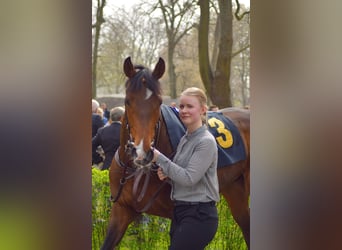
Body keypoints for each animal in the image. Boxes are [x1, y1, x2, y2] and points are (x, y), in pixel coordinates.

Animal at [100, 57, 250, 249]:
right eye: (127, 101)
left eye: (158, 102)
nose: (142, 152)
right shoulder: (121, 210)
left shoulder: (176, 215)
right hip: (235, 188)